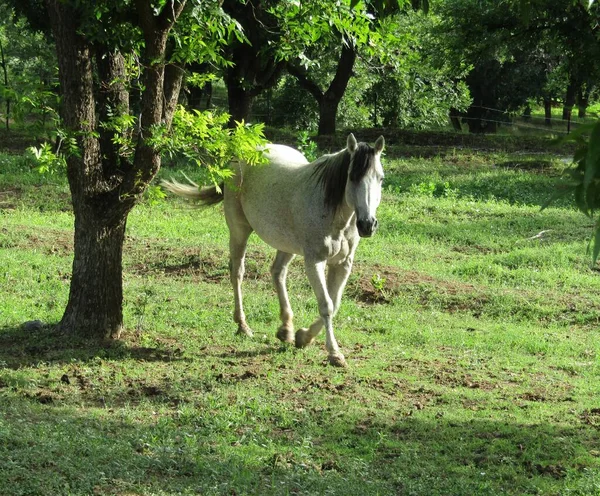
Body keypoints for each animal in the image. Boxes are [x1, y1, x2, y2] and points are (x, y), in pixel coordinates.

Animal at [162, 134, 384, 366]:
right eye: (352, 177)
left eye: (381, 179)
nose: (367, 225)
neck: (334, 214)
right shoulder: (314, 261)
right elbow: (326, 305)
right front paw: (334, 354)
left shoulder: (343, 264)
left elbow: (335, 303)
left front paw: (303, 337)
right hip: (239, 231)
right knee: (237, 272)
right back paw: (243, 326)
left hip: (286, 245)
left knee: (277, 273)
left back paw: (286, 329)